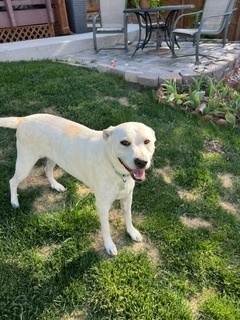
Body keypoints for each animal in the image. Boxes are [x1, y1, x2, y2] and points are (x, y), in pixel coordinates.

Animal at [0, 114, 156, 255]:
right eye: (124, 142)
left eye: (147, 141)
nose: (141, 162)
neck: (117, 170)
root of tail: (25, 118)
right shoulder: (102, 206)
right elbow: (106, 228)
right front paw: (109, 245)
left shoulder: (127, 198)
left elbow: (128, 217)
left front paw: (132, 232)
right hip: (25, 164)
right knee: (12, 181)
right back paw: (14, 201)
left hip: (53, 158)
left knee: (47, 170)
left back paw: (55, 185)